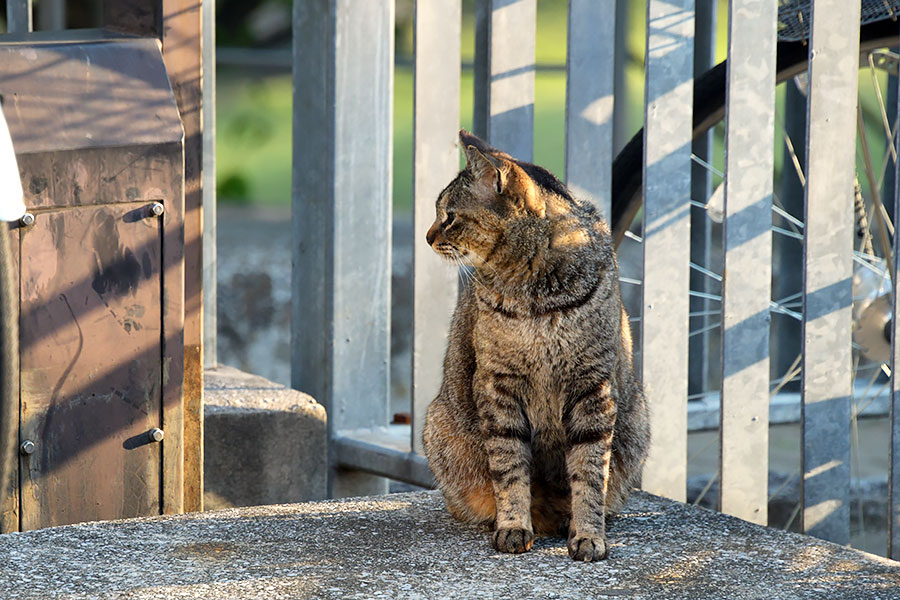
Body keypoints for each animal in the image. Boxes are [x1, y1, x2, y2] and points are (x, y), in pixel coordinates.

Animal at [426, 130, 652, 564]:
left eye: (449, 216)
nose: (428, 237)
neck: (536, 296)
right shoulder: (497, 385)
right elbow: (510, 467)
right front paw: (514, 526)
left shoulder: (593, 386)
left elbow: (589, 471)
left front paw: (588, 535)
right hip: (441, 426)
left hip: (637, 422)